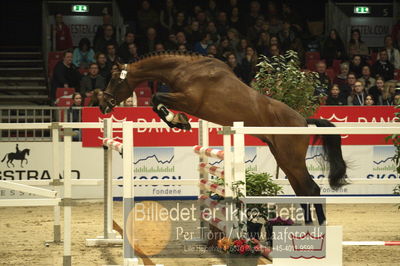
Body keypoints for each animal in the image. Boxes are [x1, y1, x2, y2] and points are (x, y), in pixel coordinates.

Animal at [97, 51, 346, 225]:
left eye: (114, 79)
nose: (103, 105)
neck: (184, 69)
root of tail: (303, 120)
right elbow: (156, 101)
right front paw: (179, 121)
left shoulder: (188, 100)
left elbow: (156, 98)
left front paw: (177, 120)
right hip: (284, 158)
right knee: (302, 190)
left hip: (291, 158)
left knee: (311, 189)